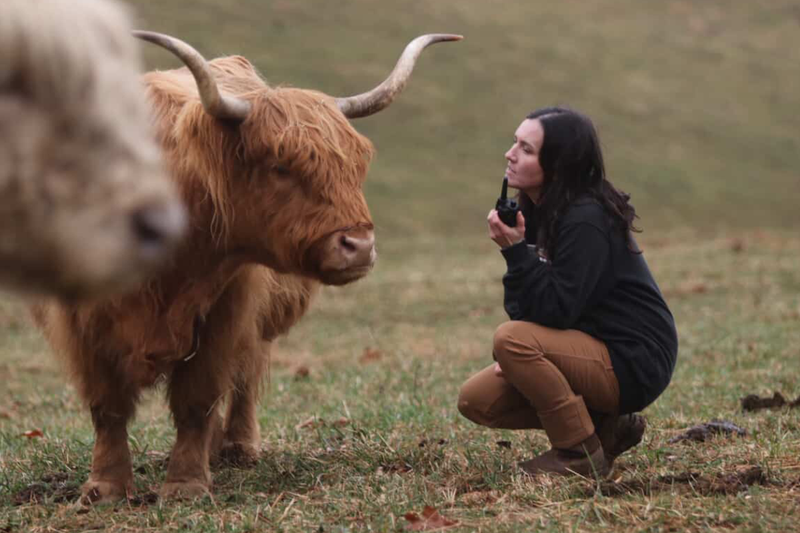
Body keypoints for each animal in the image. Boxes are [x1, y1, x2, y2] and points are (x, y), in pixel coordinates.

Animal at [32, 30, 461, 503]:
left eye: (356, 164)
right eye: (280, 166)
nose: (359, 246)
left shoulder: (227, 309)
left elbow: (197, 398)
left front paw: (186, 484)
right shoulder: (79, 322)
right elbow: (107, 404)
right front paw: (106, 487)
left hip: (259, 325)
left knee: (244, 378)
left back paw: (236, 447)